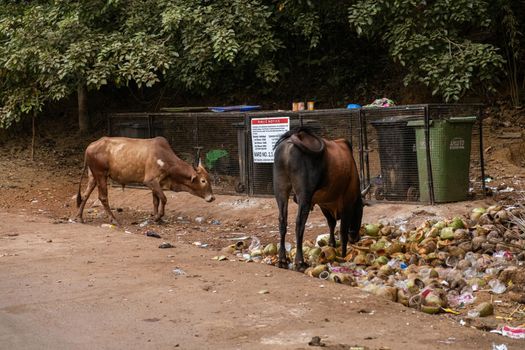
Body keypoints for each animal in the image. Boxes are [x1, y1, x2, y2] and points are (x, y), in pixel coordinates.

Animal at [74, 136, 214, 224]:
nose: (212, 198)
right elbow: (164, 199)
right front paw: (158, 217)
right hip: (101, 174)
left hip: (93, 176)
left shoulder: (157, 183)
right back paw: (113, 219)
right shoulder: (150, 181)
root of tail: (90, 146)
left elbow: (156, 201)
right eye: (203, 181)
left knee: (85, 195)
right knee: (103, 197)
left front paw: (158, 218)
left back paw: (79, 217)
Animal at [272, 126, 366, 270]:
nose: (356, 238)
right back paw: (300, 262)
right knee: (299, 224)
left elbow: (331, 224)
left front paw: (332, 244)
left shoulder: (324, 204)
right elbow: (342, 231)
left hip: (281, 189)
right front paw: (343, 255)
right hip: (304, 195)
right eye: (360, 212)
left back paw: (282, 260)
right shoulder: (347, 203)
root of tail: (296, 136)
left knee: (282, 221)